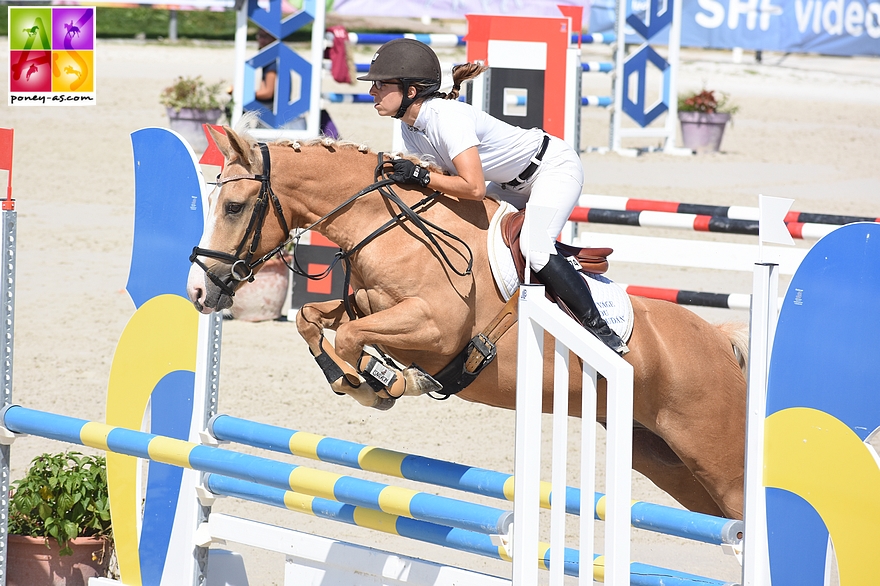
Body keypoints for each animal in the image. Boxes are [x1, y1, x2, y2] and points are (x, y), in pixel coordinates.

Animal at [187, 126, 748, 516]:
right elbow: (312, 318)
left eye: (233, 206)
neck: (387, 225)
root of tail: (721, 342)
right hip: (666, 460)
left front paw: (379, 382)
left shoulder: (434, 328)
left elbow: (348, 337)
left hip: (716, 459)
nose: (199, 290)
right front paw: (365, 377)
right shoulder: (369, 302)